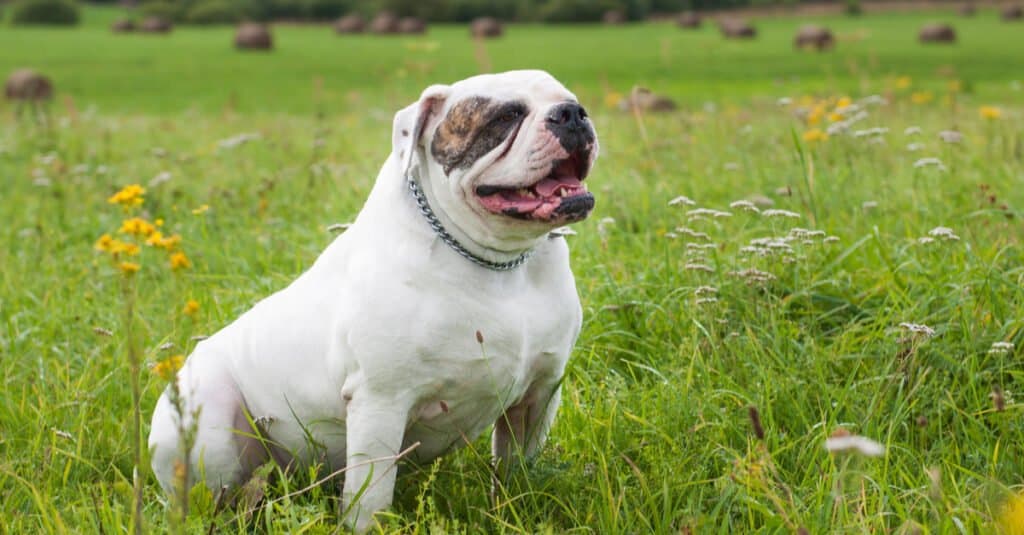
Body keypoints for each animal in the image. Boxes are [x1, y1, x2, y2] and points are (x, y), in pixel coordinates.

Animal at [151, 69, 598, 528]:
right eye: (506, 115)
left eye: (570, 99)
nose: (571, 114)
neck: (501, 262)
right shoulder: (382, 402)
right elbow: (371, 498)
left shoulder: (539, 394)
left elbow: (517, 472)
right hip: (209, 426)